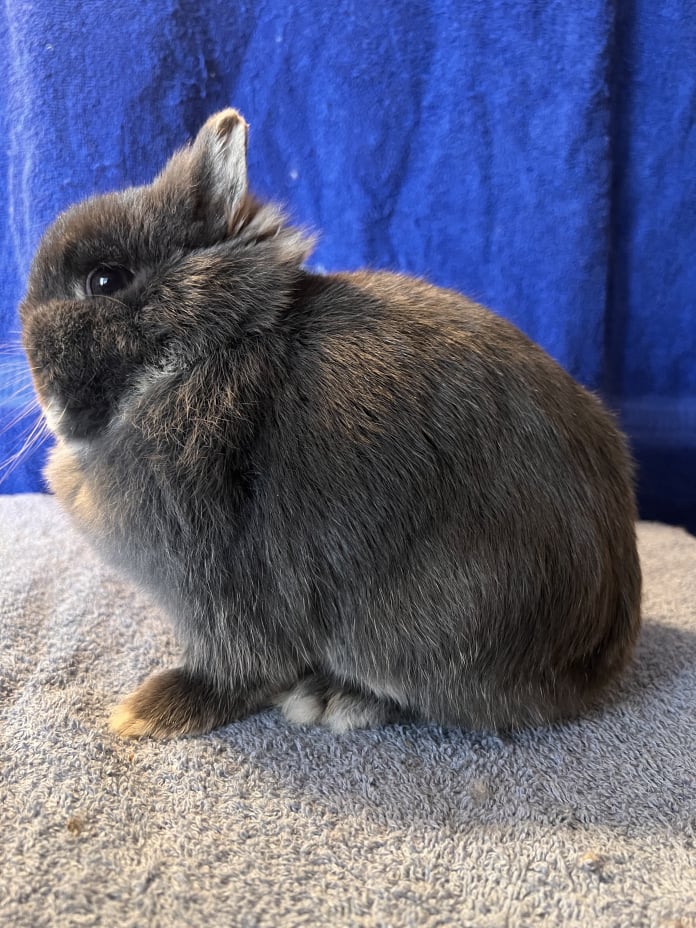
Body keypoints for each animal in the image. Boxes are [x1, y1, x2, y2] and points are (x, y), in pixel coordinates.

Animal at [20, 107, 640, 740]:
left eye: (105, 280)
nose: (40, 383)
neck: (204, 355)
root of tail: (597, 655)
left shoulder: (219, 586)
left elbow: (234, 666)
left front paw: (148, 712)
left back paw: (335, 697)